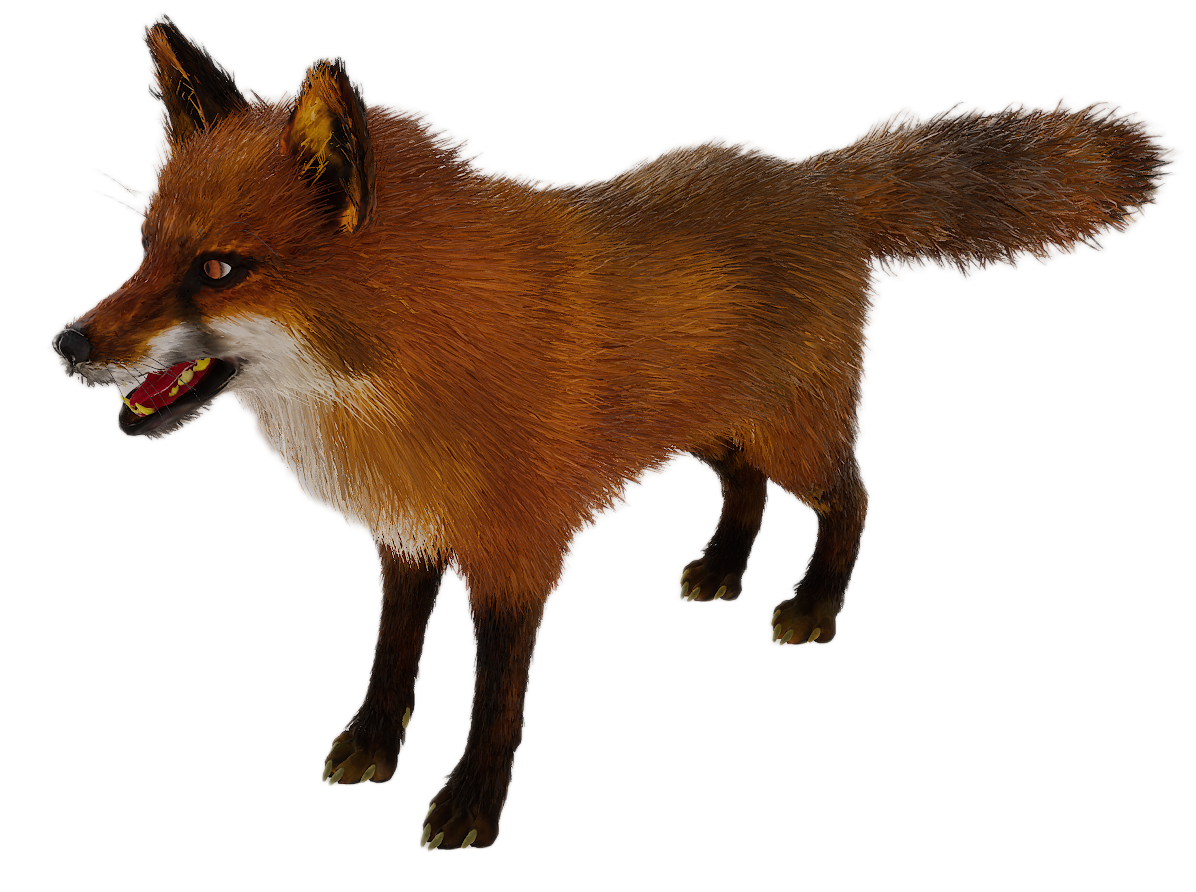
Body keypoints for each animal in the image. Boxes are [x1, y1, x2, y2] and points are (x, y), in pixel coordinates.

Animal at [48, 13, 1181, 851]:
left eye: (220, 270)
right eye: (146, 246)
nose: (66, 344)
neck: (404, 361)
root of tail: (814, 176)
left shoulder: (515, 552)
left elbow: (496, 699)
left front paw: (469, 803)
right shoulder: (408, 535)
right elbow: (391, 657)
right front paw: (370, 746)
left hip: (792, 433)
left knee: (854, 499)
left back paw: (813, 607)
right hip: (711, 429)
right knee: (742, 490)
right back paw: (719, 571)